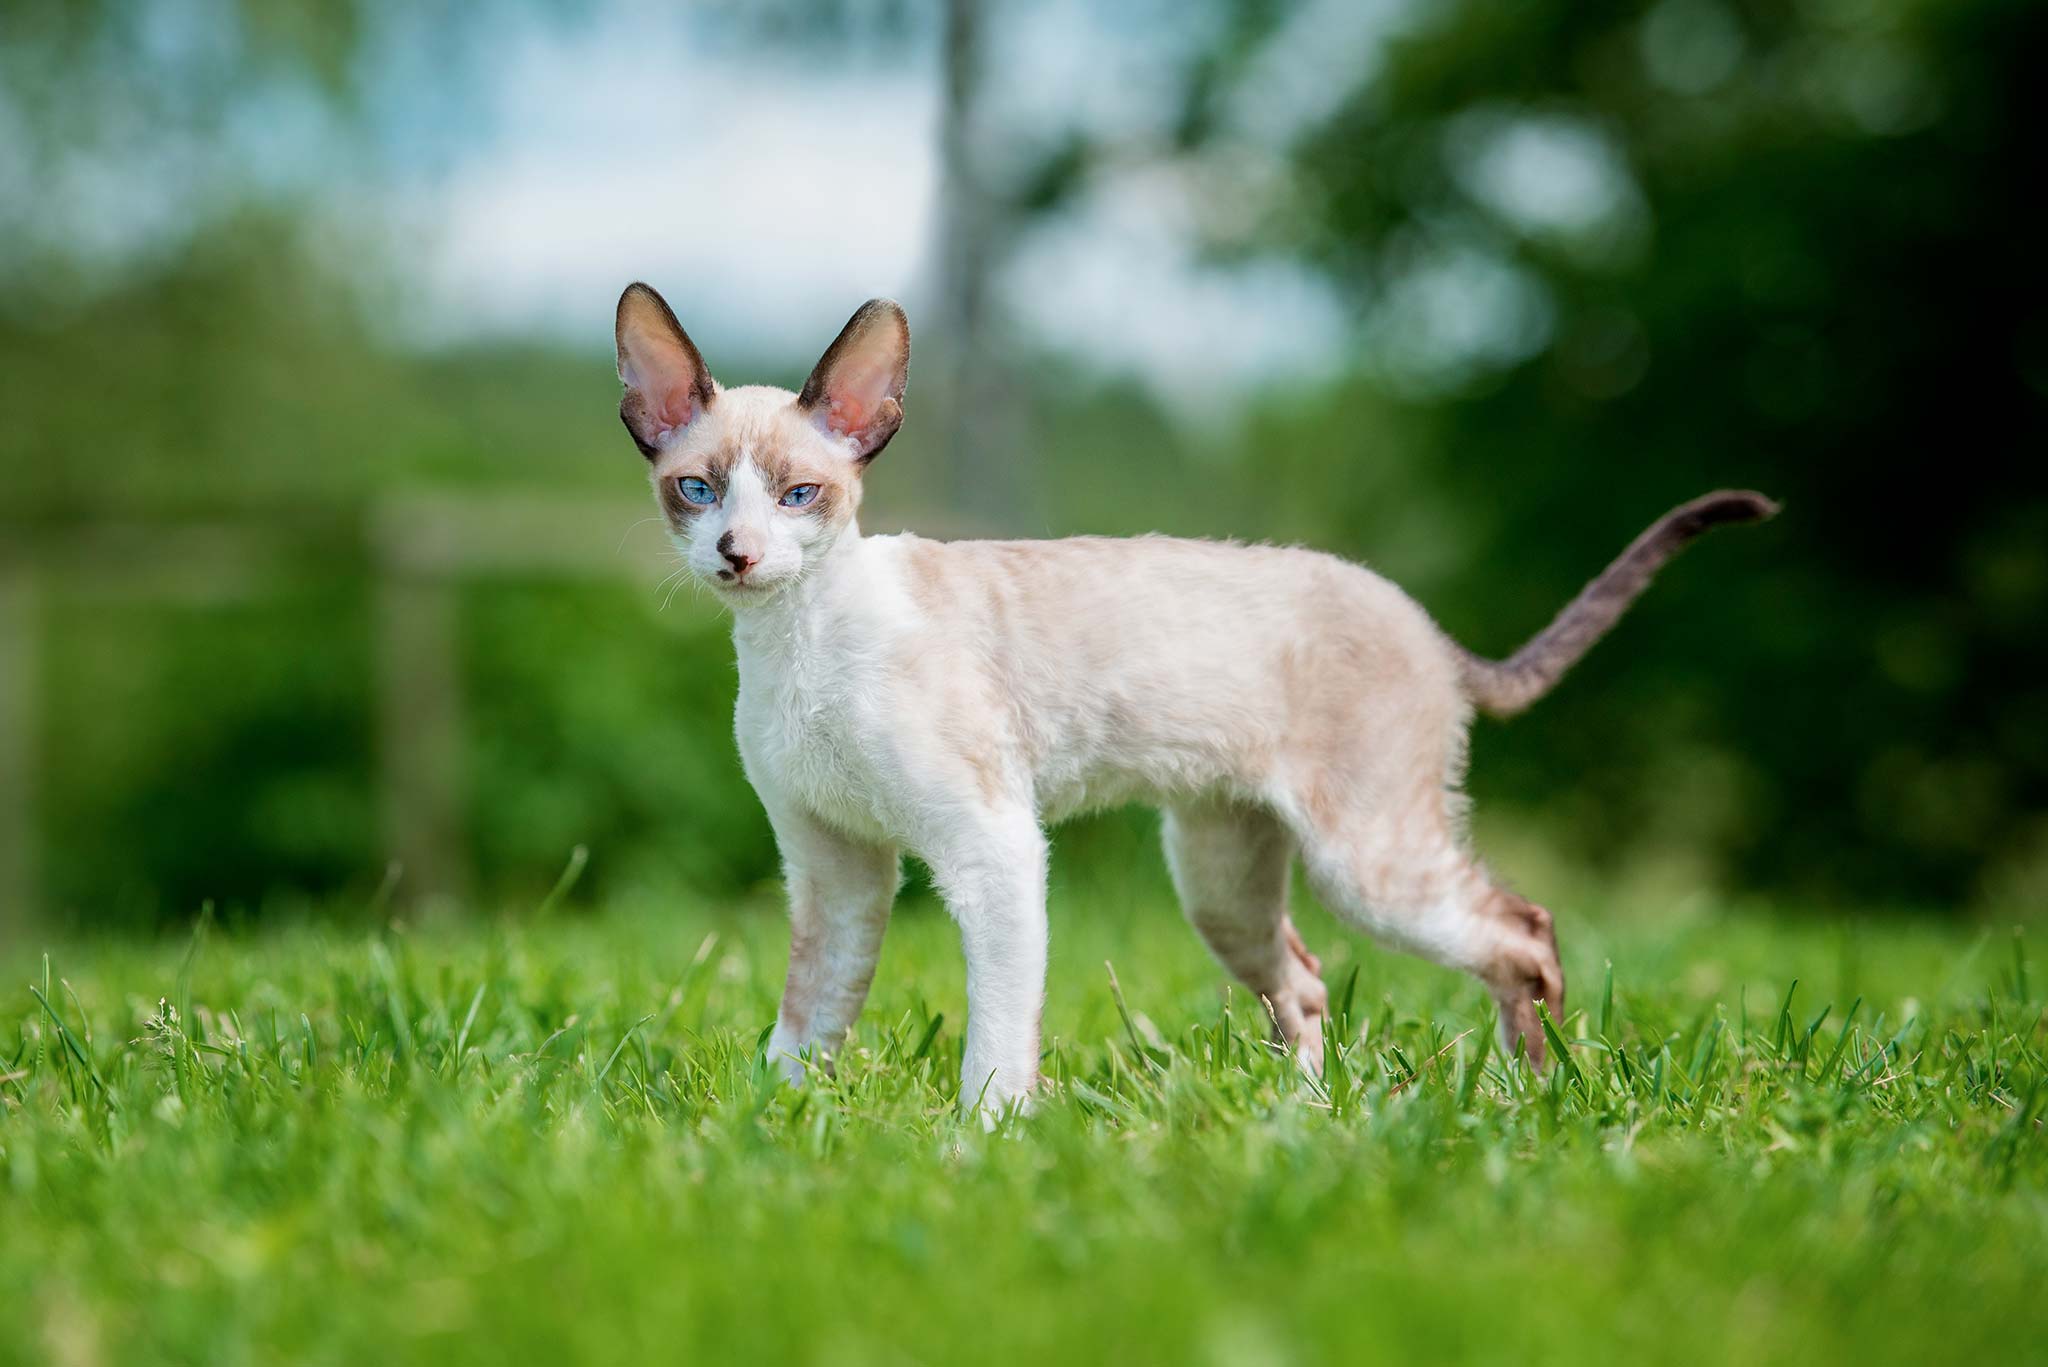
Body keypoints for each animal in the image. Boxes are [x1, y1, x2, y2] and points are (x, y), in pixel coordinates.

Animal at [610, 282, 1777, 1114]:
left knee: (1523, 931)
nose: (737, 554)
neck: (794, 643)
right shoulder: (834, 868)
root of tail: (1427, 627)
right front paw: (768, 1134)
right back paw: (1303, 1118)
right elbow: (806, 1018)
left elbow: (998, 1031)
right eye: (695, 489)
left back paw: (1531, 1096)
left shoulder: (990, 845)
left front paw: (984, 1140)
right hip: (1220, 874)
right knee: (1306, 979)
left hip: (1370, 862)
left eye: (800, 494)